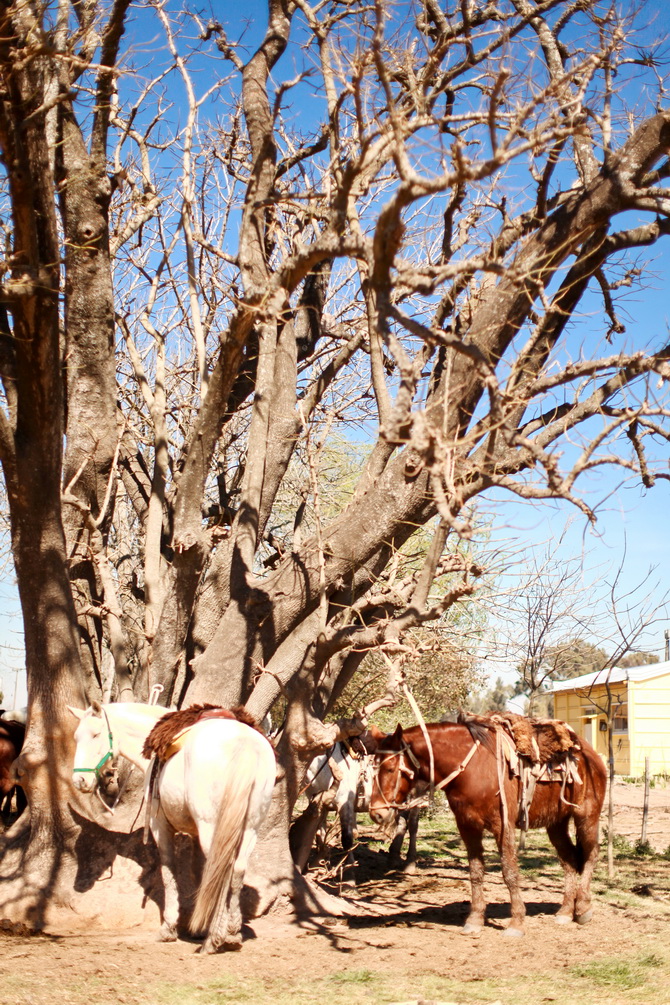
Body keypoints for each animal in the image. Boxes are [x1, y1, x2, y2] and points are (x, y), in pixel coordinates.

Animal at [68, 703, 275, 952]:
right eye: (76, 737)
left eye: (96, 734)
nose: (79, 781)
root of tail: (244, 743)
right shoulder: (196, 834)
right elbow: (200, 872)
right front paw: (199, 924)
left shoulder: (161, 826)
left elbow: (168, 870)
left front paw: (169, 927)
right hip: (249, 828)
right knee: (236, 871)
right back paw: (232, 933)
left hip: (212, 827)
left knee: (223, 870)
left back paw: (214, 938)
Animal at [369, 719, 610, 936]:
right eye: (373, 767)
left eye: (390, 768)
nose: (377, 813)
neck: (472, 769)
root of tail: (590, 754)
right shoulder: (468, 827)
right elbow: (475, 872)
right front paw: (475, 920)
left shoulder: (502, 826)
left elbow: (509, 871)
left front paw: (516, 923)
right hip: (556, 823)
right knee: (569, 859)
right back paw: (566, 911)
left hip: (586, 816)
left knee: (591, 854)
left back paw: (583, 908)